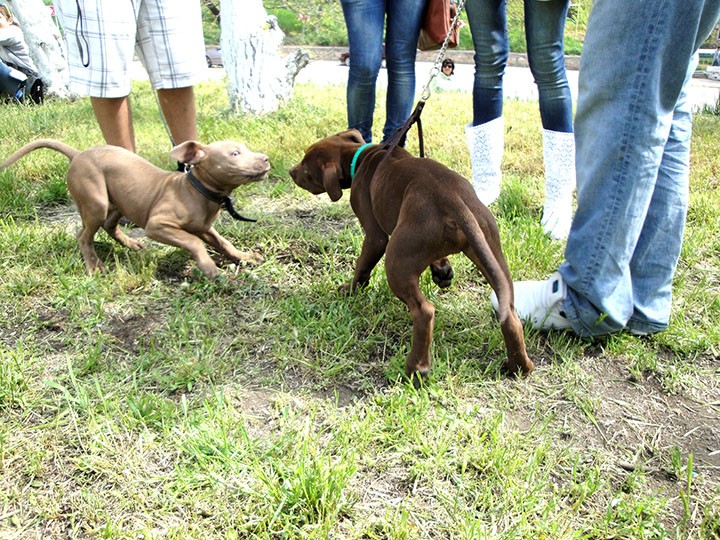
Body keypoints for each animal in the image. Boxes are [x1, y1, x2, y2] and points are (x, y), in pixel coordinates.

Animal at [0, 137, 270, 280]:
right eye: (234, 153)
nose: (266, 158)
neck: (196, 190)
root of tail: (78, 154)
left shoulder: (204, 227)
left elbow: (225, 243)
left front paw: (245, 257)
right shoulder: (158, 226)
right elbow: (194, 243)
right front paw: (208, 267)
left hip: (119, 201)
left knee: (107, 226)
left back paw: (132, 245)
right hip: (96, 202)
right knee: (84, 235)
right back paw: (94, 265)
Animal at [288, 129, 536, 382]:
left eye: (306, 169)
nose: (290, 171)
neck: (358, 155)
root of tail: (453, 201)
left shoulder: (375, 237)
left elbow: (362, 266)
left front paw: (350, 290)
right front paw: (442, 271)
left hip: (397, 260)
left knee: (424, 311)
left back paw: (416, 368)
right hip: (492, 254)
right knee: (510, 314)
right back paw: (519, 366)